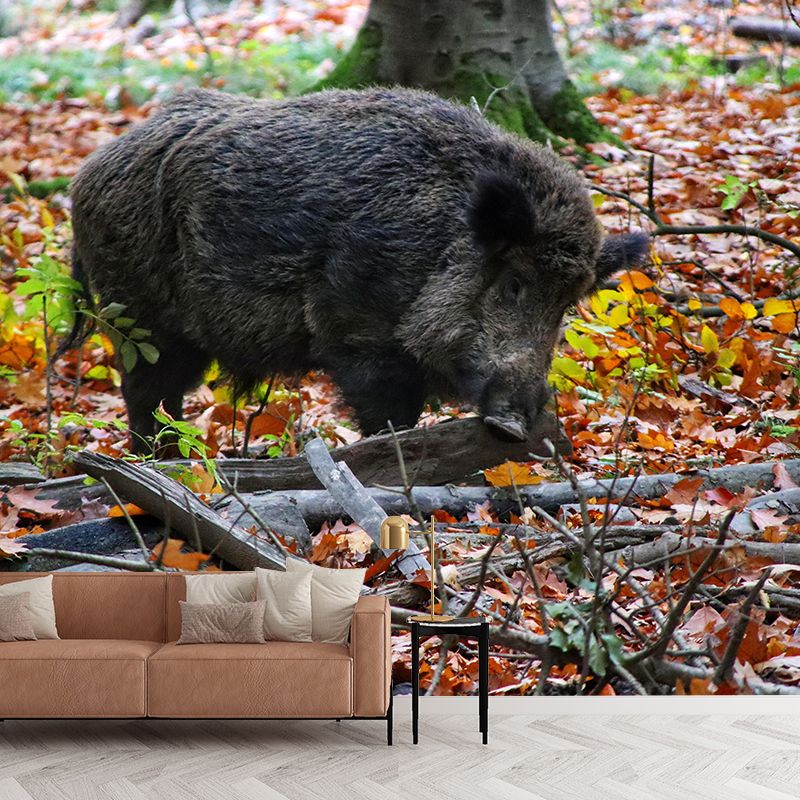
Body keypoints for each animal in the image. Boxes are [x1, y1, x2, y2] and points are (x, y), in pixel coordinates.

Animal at [66, 87, 648, 452]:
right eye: (513, 283)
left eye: (566, 305)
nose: (512, 424)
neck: (436, 244)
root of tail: (85, 175)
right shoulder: (357, 330)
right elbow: (388, 415)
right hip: (138, 317)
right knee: (146, 393)